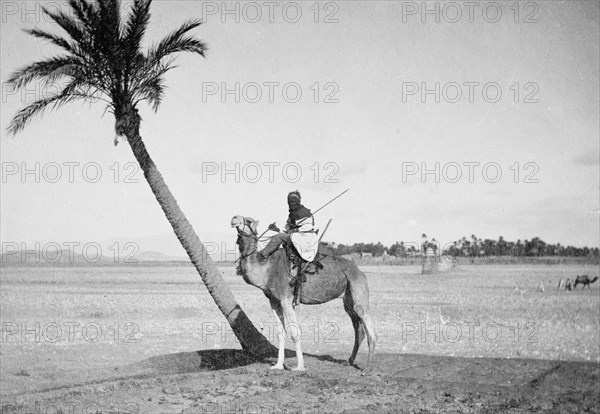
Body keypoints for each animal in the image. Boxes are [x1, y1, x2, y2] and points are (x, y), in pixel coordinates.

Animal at [231, 215, 376, 370]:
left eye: (249, 221)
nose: (234, 218)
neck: (266, 269)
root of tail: (360, 272)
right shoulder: (274, 301)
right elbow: (280, 333)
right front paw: (278, 365)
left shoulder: (286, 299)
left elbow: (295, 333)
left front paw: (299, 366)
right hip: (347, 299)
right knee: (358, 328)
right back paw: (349, 361)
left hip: (358, 286)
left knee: (364, 318)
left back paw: (367, 368)